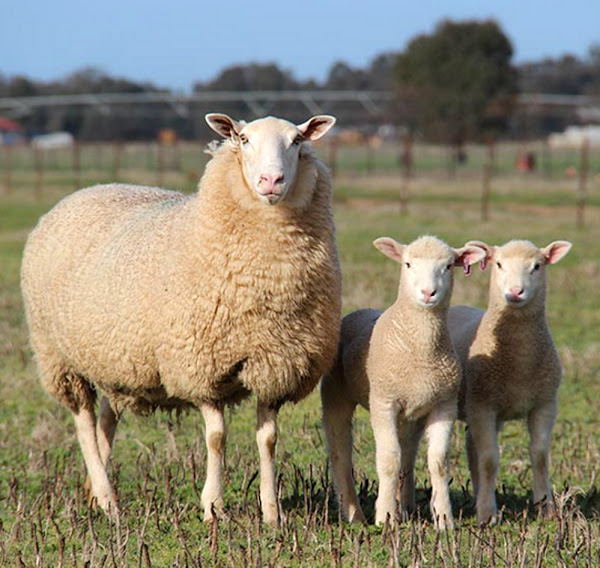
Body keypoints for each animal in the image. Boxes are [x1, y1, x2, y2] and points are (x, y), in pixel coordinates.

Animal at [21, 112, 340, 528]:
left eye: (297, 140)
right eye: (243, 139)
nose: (271, 181)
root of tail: (81, 193)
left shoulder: (276, 368)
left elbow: (268, 439)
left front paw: (272, 513)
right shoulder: (200, 366)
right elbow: (216, 438)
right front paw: (213, 507)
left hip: (115, 357)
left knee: (107, 419)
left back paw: (95, 492)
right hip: (58, 356)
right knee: (84, 423)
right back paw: (108, 500)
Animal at [322, 235, 486, 528]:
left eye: (448, 266)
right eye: (408, 264)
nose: (428, 293)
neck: (421, 350)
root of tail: (360, 311)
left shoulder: (444, 405)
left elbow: (438, 462)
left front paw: (444, 518)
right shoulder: (383, 402)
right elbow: (389, 459)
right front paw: (385, 517)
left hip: (412, 415)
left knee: (408, 456)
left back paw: (406, 507)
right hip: (336, 396)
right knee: (340, 453)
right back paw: (354, 513)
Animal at [450, 237, 572, 524]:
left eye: (537, 266)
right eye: (498, 264)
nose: (516, 292)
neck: (520, 364)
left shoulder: (545, 404)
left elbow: (539, 455)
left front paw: (546, 507)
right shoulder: (483, 406)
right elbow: (489, 459)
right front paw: (487, 515)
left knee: (471, 448)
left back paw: (478, 495)